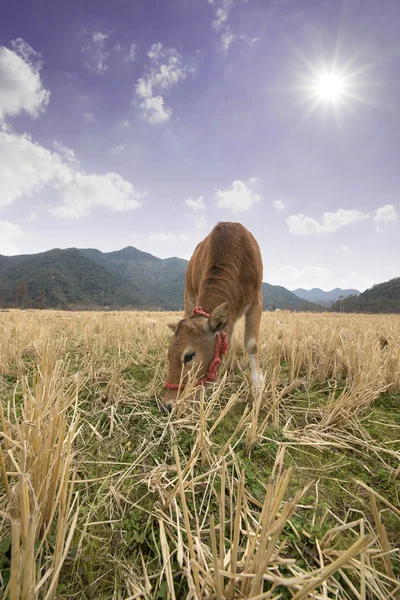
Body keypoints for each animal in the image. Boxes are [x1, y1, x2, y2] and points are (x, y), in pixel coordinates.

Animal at [161, 223, 264, 410]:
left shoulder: (256, 300)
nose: (167, 404)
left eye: (189, 356)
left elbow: (252, 345)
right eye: (169, 353)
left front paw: (258, 386)